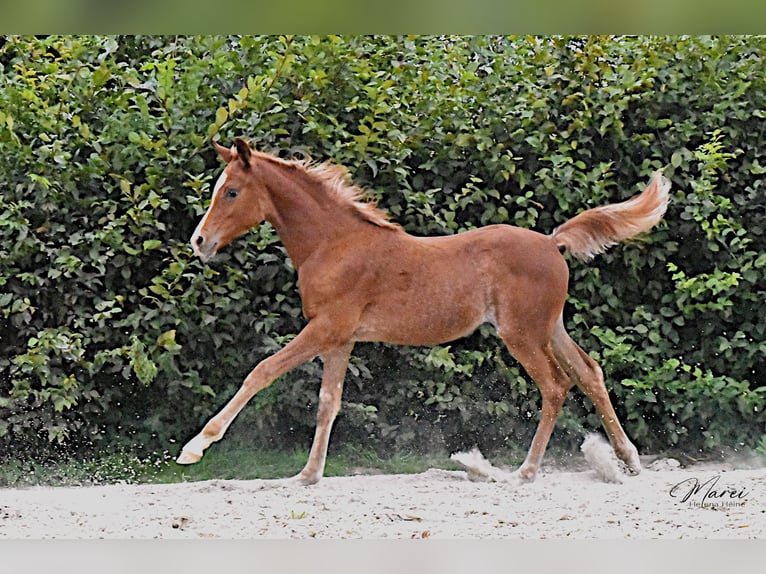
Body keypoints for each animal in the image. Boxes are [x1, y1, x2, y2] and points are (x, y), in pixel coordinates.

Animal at [177, 137, 670, 485]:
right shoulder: (341, 338)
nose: (199, 242)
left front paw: (196, 447)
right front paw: (308, 475)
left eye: (232, 191)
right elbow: (328, 402)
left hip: (522, 334)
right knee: (589, 373)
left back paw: (525, 472)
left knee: (555, 385)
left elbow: (261, 372)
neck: (334, 244)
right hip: (550, 328)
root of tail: (552, 243)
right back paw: (628, 459)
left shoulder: (325, 328)